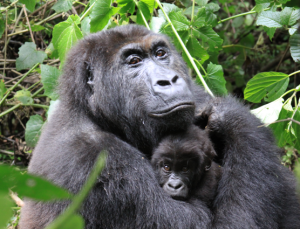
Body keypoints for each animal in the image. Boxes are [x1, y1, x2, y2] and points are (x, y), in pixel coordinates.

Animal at [19, 25, 300, 229]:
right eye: (134, 61)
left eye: (161, 54)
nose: (169, 80)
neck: (87, 110)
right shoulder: (95, 160)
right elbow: (228, 223)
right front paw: (231, 117)